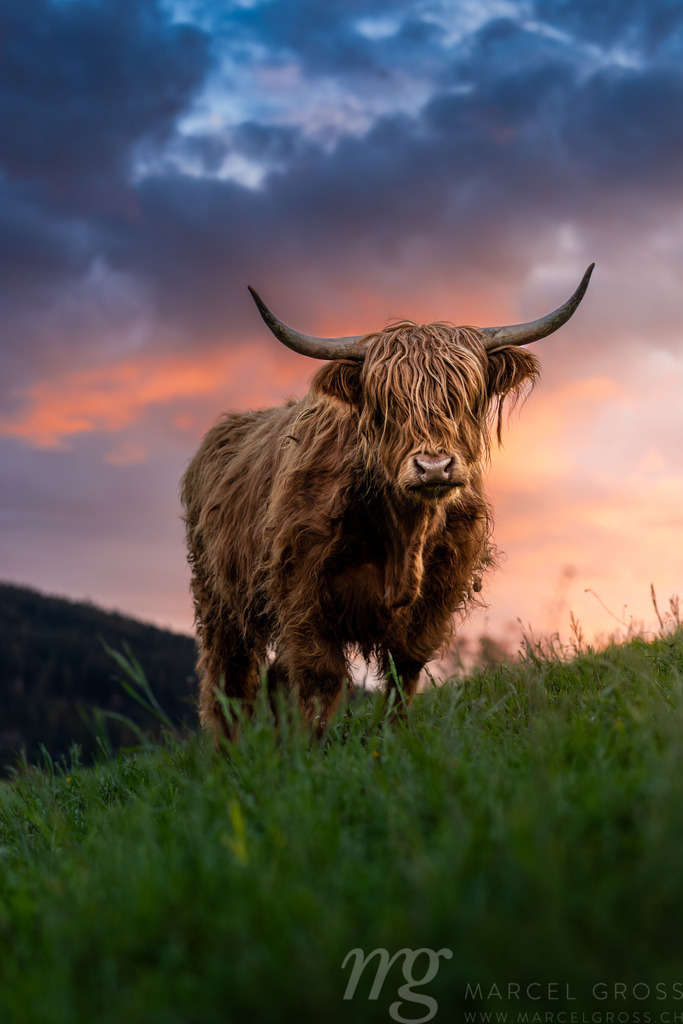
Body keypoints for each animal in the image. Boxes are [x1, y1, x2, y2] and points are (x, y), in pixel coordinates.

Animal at [181, 265, 594, 739]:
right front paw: (315, 752)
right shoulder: (301, 592)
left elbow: (404, 671)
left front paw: (392, 739)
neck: (403, 533)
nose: (434, 467)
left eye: (463, 398)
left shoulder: (437, 596)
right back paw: (231, 753)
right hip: (218, 598)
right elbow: (320, 678)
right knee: (228, 681)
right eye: (388, 404)